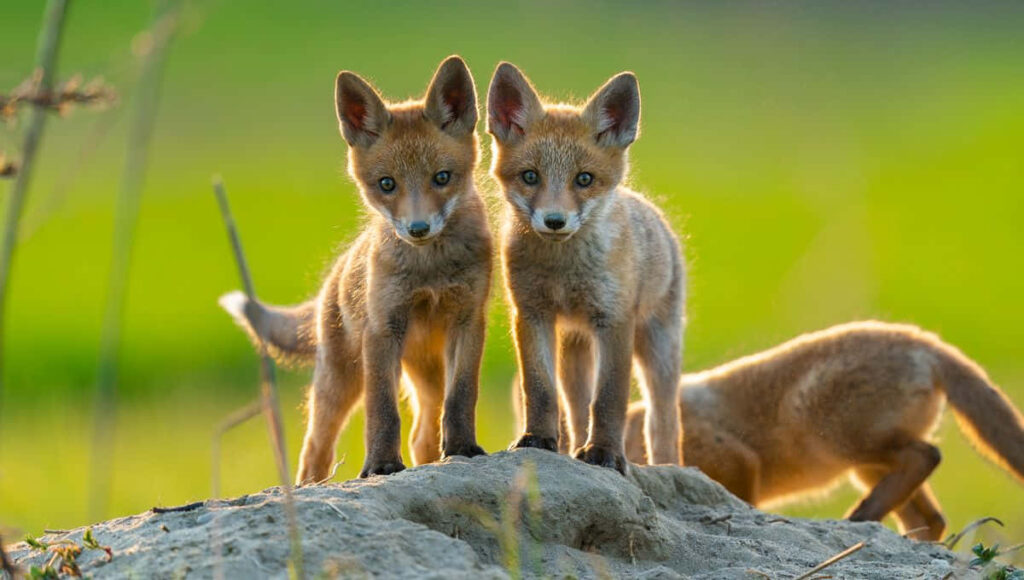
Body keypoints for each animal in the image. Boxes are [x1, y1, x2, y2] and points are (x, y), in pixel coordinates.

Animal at [219, 56, 492, 484]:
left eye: (442, 178)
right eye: (387, 184)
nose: (417, 229)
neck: (429, 270)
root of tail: (334, 276)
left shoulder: (468, 320)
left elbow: (462, 397)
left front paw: (464, 449)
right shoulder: (382, 329)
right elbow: (382, 412)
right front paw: (380, 465)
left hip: (426, 375)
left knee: (422, 434)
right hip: (340, 380)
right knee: (316, 449)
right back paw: (308, 486)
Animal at [487, 62, 686, 474]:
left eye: (584, 179)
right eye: (530, 176)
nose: (554, 221)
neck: (563, 271)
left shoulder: (614, 319)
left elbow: (610, 399)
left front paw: (604, 454)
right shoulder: (531, 313)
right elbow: (539, 389)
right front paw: (539, 439)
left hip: (658, 348)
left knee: (664, 422)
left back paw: (668, 467)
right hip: (574, 351)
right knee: (576, 410)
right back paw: (573, 446)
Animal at [620, 321, 1024, 540]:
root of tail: (924, 341)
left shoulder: (738, 461)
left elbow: (742, 502)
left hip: (837, 438)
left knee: (927, 456)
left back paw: (858, 518)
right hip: (866, 467)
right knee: (930, 517)